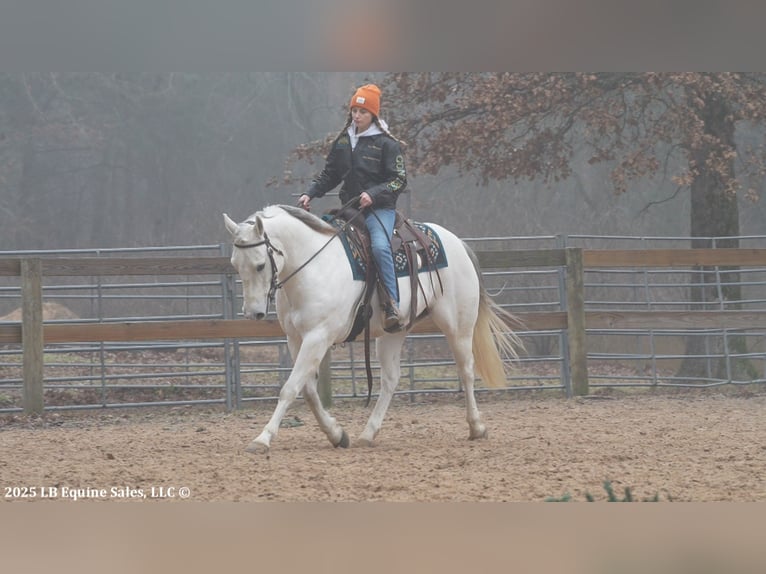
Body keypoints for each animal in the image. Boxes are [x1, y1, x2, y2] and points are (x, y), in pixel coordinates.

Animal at [222, 206, 520, 454]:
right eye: (235, 264)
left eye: (260, 264)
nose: (253, 313)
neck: (314, 267)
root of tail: (457, 242)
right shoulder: (295, 339)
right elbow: (307, 390)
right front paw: (337, 434)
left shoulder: (318, 337)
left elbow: (290, 388)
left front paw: (262, 438)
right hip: (393, 332)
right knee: (390, 380)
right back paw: (368, 433)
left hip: (458, 326)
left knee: (466, 370)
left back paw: (476, 427)